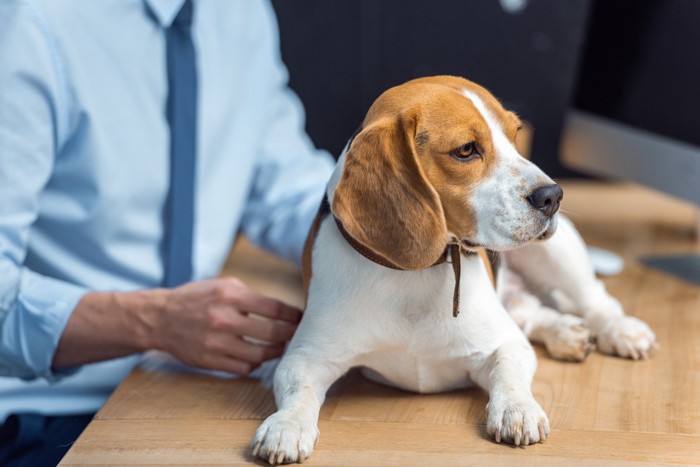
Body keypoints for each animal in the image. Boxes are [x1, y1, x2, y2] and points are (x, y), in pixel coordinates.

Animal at [250, 76, 656, 464]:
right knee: (532, 312)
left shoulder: (505, 343)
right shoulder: (305, 357)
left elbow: (509, 372)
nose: (553, 196)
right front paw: (286, 425)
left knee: (595, 300)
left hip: (557, 251)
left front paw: (517, 409)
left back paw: (620, 331)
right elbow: (298, 390)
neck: (415, 274)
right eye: (465, 150)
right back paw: (565, 333)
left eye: (514, 134)